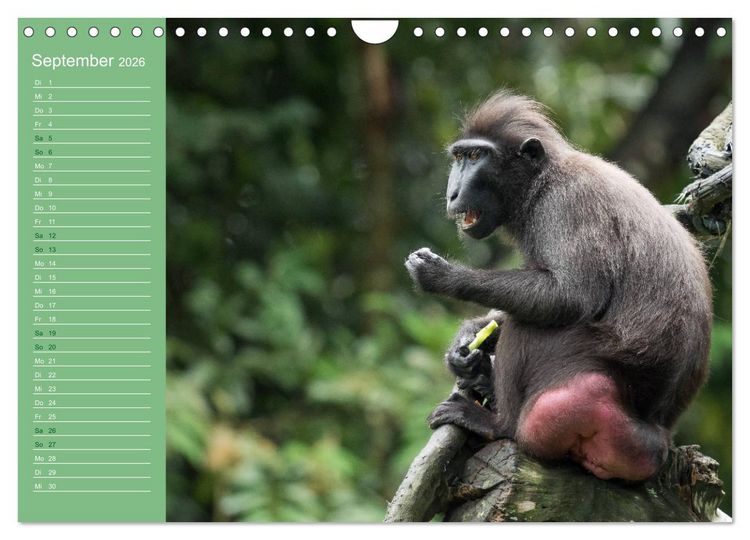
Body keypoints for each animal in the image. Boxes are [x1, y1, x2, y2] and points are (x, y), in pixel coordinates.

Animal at [405, 92, 712, 482]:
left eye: (476, 157)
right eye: (460, 157)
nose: (453, 193)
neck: (541, 181)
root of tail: (655, 431)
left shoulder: (565, 204)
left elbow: (568, 298)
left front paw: (443, 277)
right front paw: (468, 342)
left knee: (531, 324)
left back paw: (496, 423)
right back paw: (482, 378)